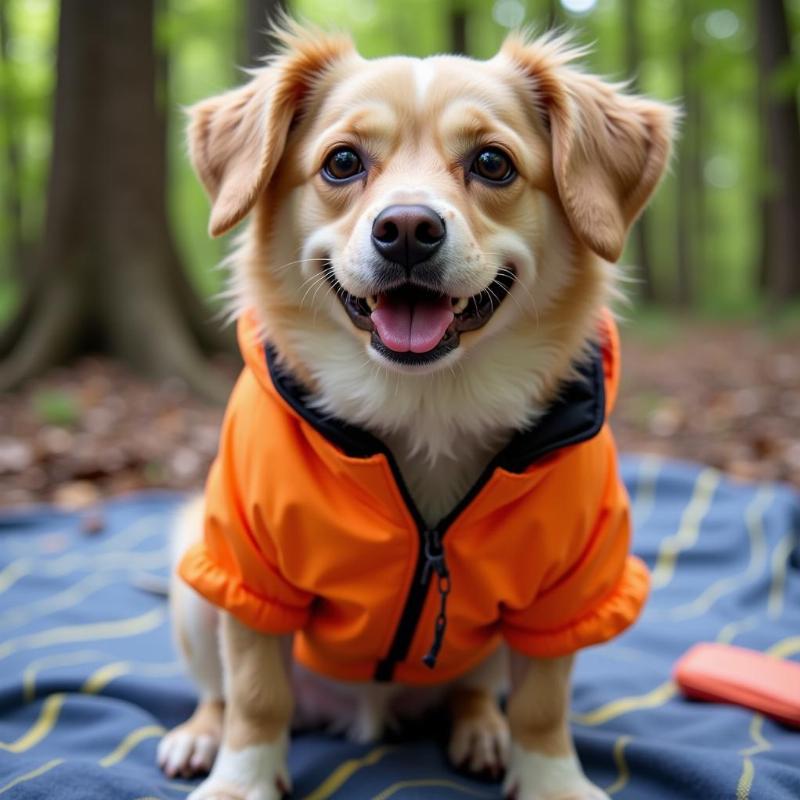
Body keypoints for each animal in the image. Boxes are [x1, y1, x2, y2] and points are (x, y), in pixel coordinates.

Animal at [159, 18, 680, 800]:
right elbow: (255, 693)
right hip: (195, 581)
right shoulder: (247, 570)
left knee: (475, 689)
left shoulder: (566, 593)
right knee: (221, 691)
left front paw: (550, 778)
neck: (425, 403)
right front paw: (240, 781)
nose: (406, 227)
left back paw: (481, 730)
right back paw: (200, 734)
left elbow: (542, 702)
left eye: (493, 163)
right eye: (342, 162)